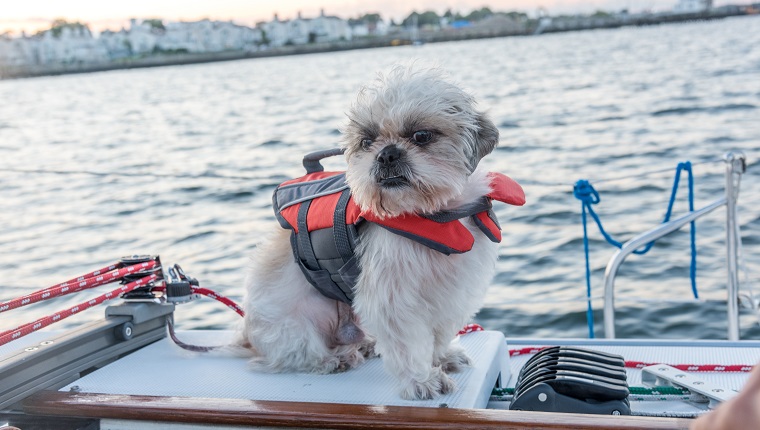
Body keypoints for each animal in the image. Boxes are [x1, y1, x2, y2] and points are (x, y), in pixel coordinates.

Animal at [232, 66, 524, 400]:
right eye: (366, 141)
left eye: (421, 136)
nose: (386, 154)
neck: (436, 212)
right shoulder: (393, 297)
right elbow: (408, 344)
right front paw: (422, 380)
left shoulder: (451, 290)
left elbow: (439, 332)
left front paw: (442, 358)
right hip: (294, 324)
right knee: (295, 354)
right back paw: (334, 358)